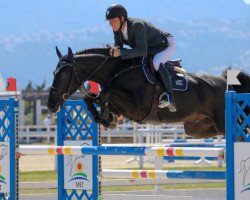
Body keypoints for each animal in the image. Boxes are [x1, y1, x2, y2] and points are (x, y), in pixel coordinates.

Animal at [47, 47, 250, 138]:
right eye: (53, 73)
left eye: (63, 74)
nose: (51, 104)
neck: (118, 71)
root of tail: (225, 81)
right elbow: (96, 100)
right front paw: (106, 118)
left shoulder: (138, 107)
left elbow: (108, 92)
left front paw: (104, 114)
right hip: (197, 127)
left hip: (221, 122)